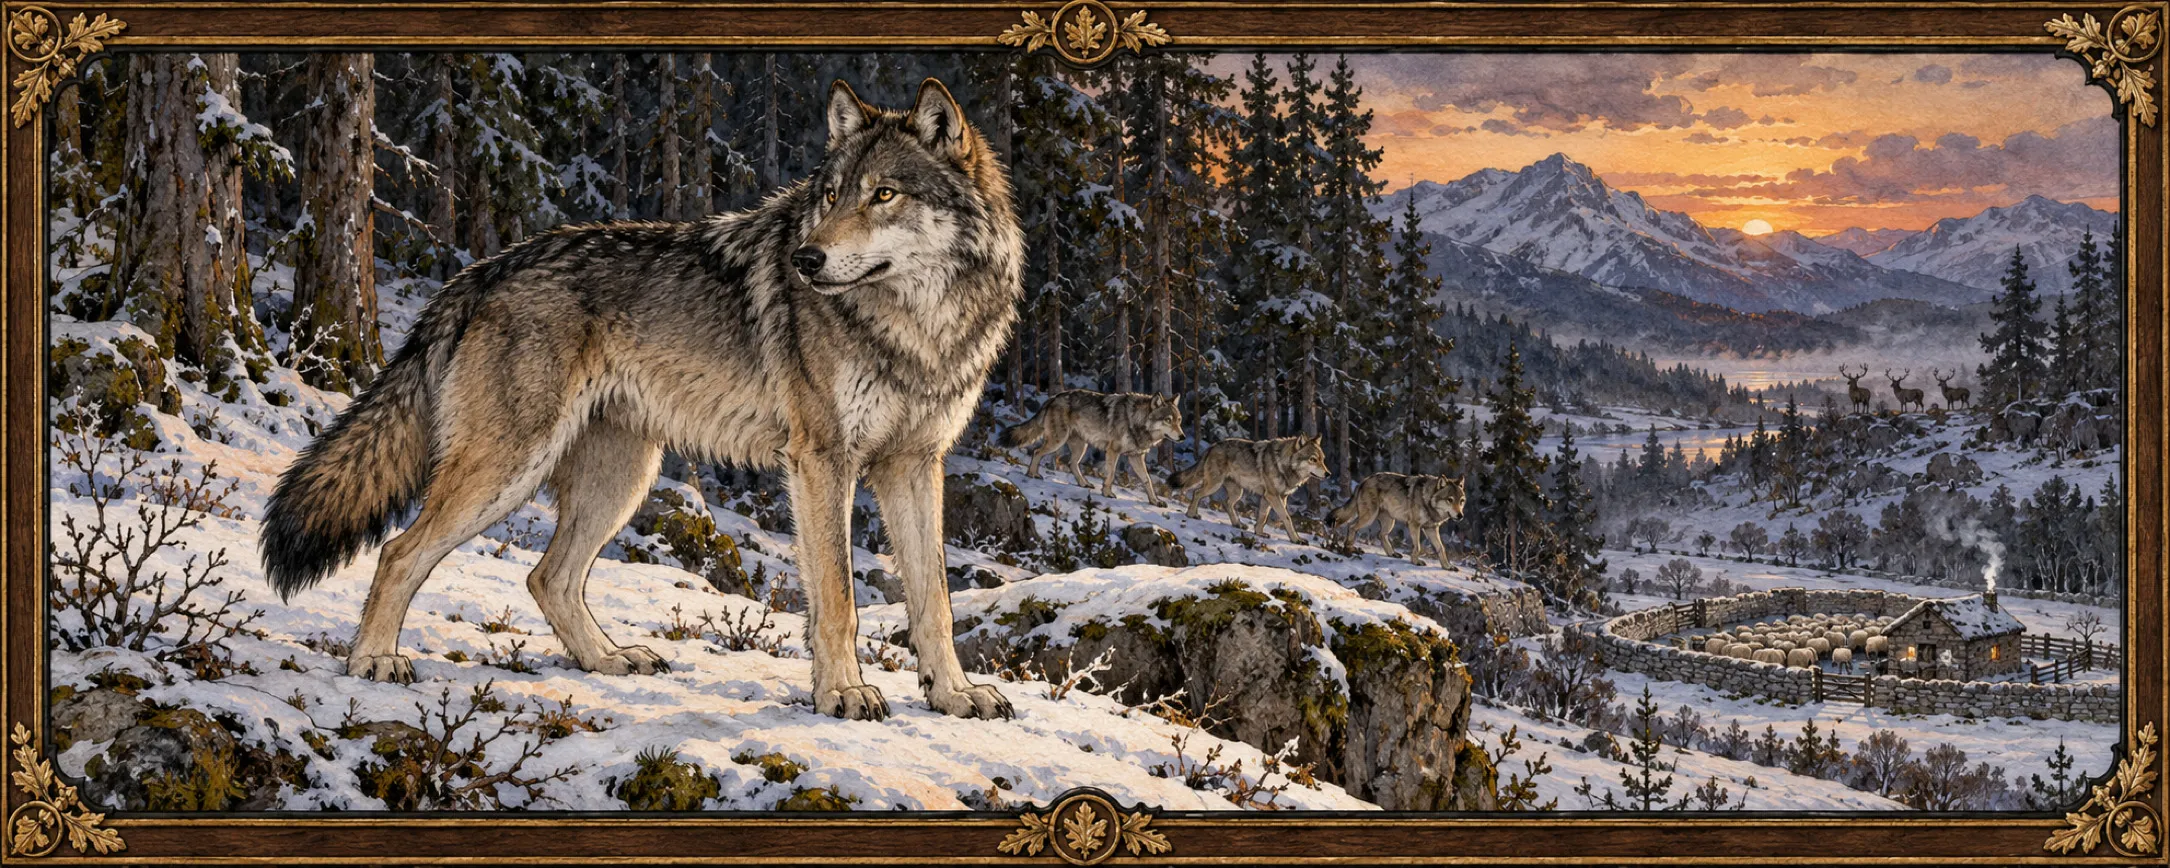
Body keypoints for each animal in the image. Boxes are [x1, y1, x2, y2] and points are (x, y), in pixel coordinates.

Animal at [260, 79, 1023, 722]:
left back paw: (607, 659)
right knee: (400, 553)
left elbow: (934, 601)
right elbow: (838, 597)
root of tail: (481, 270)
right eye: (831, 194)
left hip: (621, 479)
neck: (919, 328)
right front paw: (842, 695)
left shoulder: (914, 464)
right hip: (510, 471)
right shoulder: (822, 461)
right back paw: (374, 661)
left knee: (548, 577)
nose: (806, 260)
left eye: (885, 194)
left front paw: (953, 696)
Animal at [1003, 390, 1183, 505]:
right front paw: (1107, 493)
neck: (1136, 421)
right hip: (1058, 441)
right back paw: (1032, 474)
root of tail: (1053, 397)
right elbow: (1111, 474)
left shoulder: (1135, 457)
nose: (1182, 437)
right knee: (1037, 451)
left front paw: (1155, 501)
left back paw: (1084, 483)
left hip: (1081, 447)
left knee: (1071, 464)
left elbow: (1147, 480)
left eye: (1179, 420)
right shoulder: (1113, 451)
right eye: (1168, 420)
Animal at [1169, 437, 1327, 543]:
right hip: (1214, 485)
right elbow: (1287, 518)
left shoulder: (1274, 497)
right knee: (1197, 493)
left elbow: (1263, 517)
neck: (1283, 464)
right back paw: (1191, 514)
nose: (1328, 473)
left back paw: (1237, 523)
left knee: (1226, 503)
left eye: (1323, 459)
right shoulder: (1273, 496)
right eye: (1313, 459)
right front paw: (1296, 539)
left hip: (1237, 493)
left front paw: (1259, 533)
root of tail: (1212, 445)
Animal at [1329, 473, 1466, 565]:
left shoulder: (1431, 528)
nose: (1460, 516)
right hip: (1369, 518)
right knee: (1352, 526)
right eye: (1450, 500)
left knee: (1381, 535)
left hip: (1390, 522)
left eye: (1461, 501)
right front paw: (1415, 562)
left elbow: (1441, 548)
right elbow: (1418, 546)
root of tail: (1364, 480)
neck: (1427, 500)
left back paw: (1392, 553)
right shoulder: (1414, 525)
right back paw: (1348, 549)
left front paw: (1447, 567)